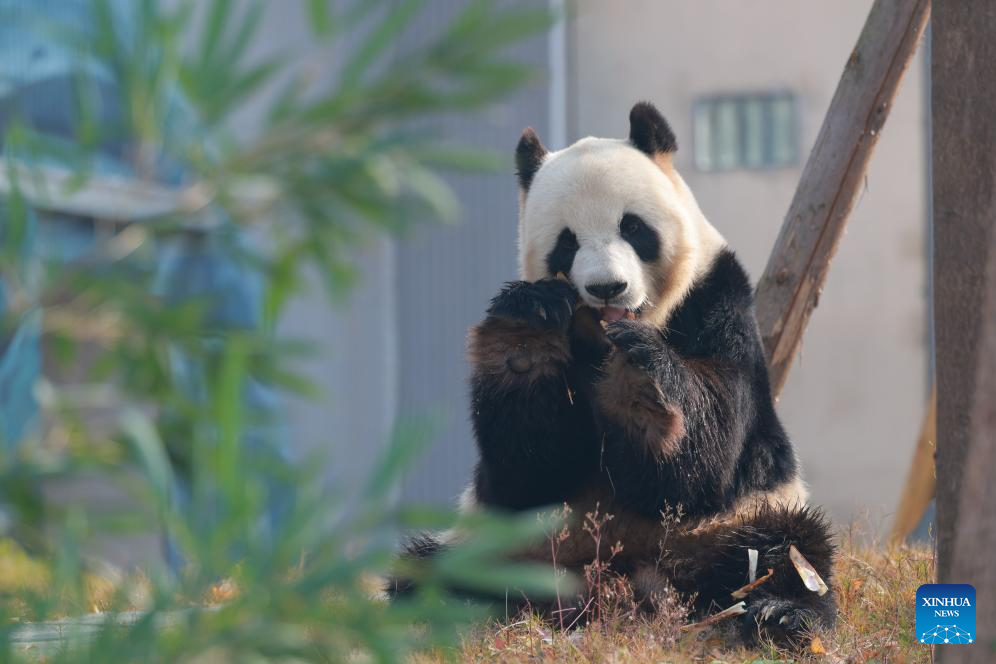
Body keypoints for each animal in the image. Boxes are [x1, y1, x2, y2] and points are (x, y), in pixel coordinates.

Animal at [395, 101, 836, 645]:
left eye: (634, 228)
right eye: (566, 243)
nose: (608, 287)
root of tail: (618, 583)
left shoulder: (718, 301)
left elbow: (709, 453)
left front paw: (643, 388)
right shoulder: (518, 492)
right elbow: (528, 471)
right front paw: (526, 339)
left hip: (731, 524)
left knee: (785, 550)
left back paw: (780, 612)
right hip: (505, 543)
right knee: (430, 572)